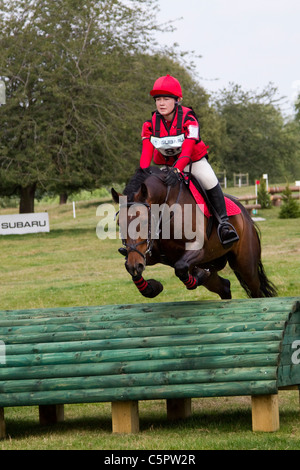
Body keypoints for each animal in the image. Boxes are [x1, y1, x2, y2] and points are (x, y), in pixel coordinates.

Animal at [111, 167, 278, 300]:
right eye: (119, 224)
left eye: (145, 222)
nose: (135, 265)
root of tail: (247, 217)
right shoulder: (147, 254)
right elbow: (131, 267)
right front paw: (152, 287)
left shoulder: (198, 249)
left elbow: (180, 267)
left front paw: (197, 277)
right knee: (224, 287)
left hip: (245, 265)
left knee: (256, 291)